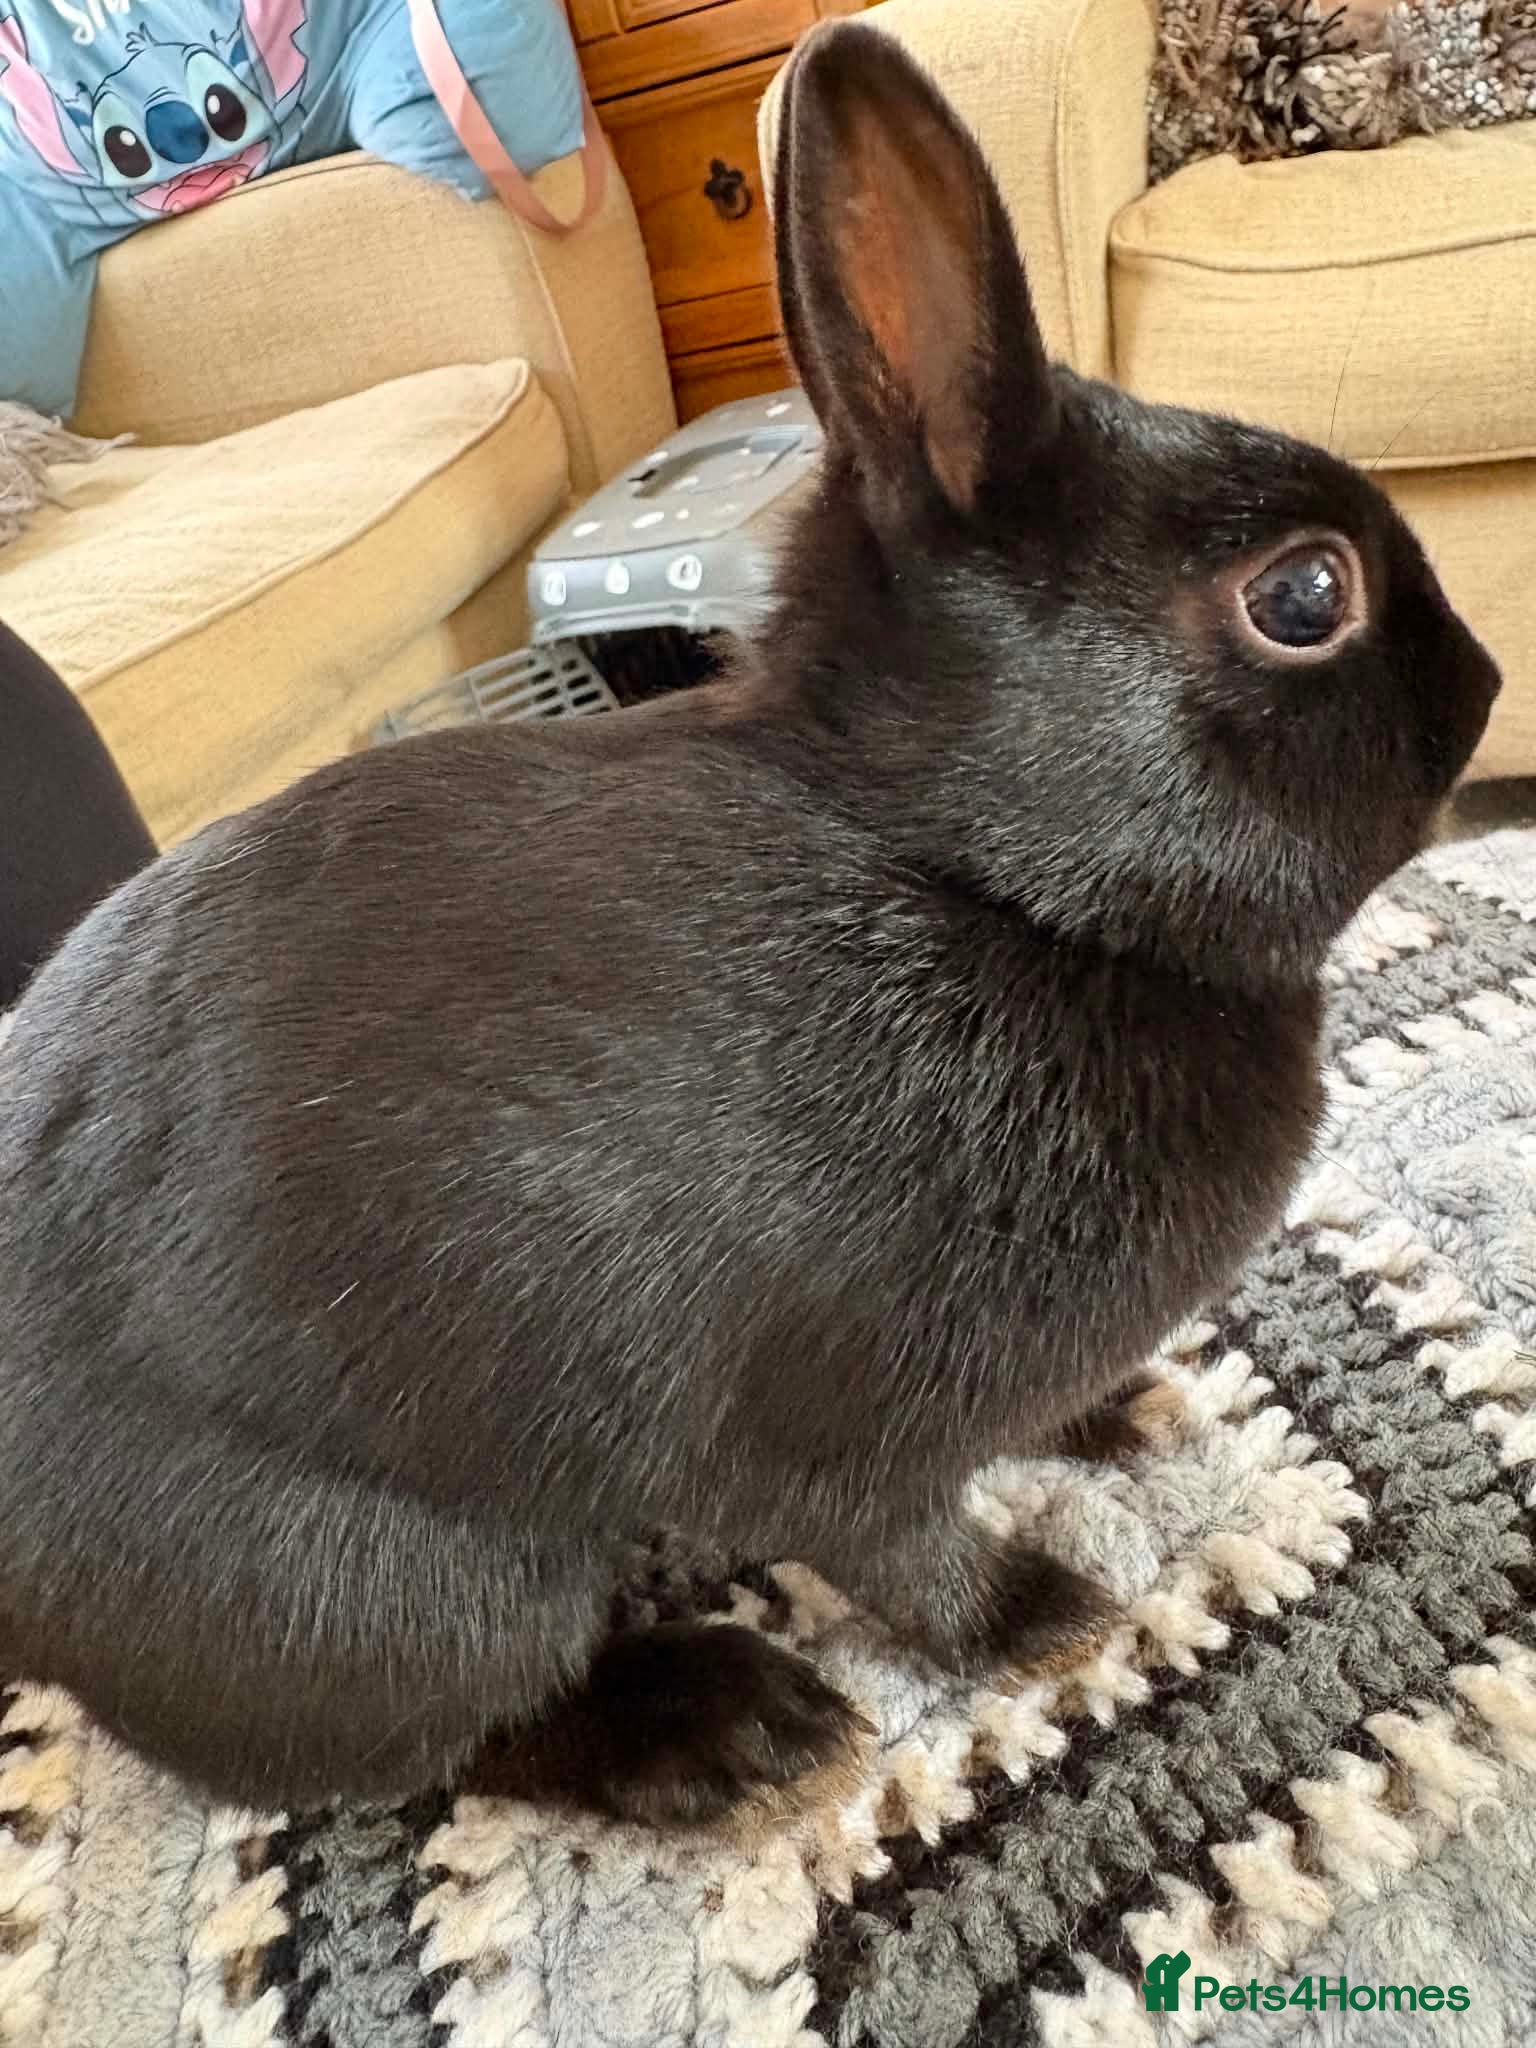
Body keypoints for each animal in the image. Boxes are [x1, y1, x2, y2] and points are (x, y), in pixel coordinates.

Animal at [0, 19, 1499, 1828]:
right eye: (1304, 596)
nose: (1489, 683)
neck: (980, 880)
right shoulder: (832, 1420)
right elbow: (899, 1547)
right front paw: (1053, 1611)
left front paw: (1118, 1420)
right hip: (404, 1584)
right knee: (453, 1743)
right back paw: (728, 1724)